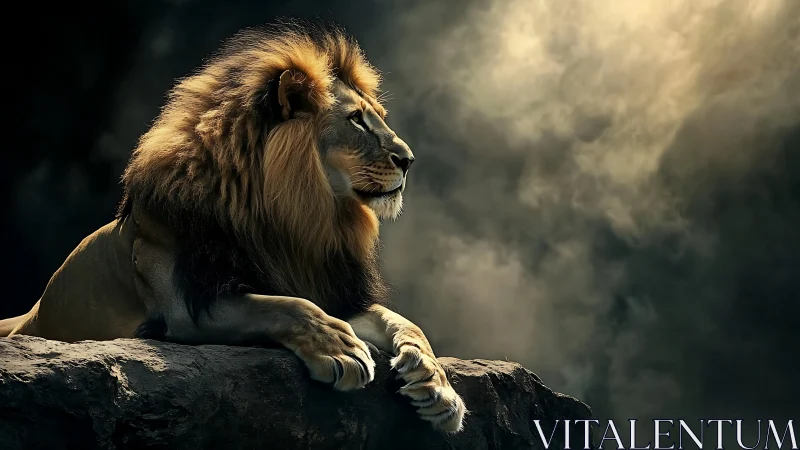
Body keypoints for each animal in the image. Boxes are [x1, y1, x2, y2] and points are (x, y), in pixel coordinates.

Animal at [0, 21, 466, 432]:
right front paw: (341, 348)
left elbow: (403, 322)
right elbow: (281, 306)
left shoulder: (325, 286)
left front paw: (437, 387)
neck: (293, 219)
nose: (409, 160)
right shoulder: (185, 306)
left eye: (378, 116)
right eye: (356, 120)